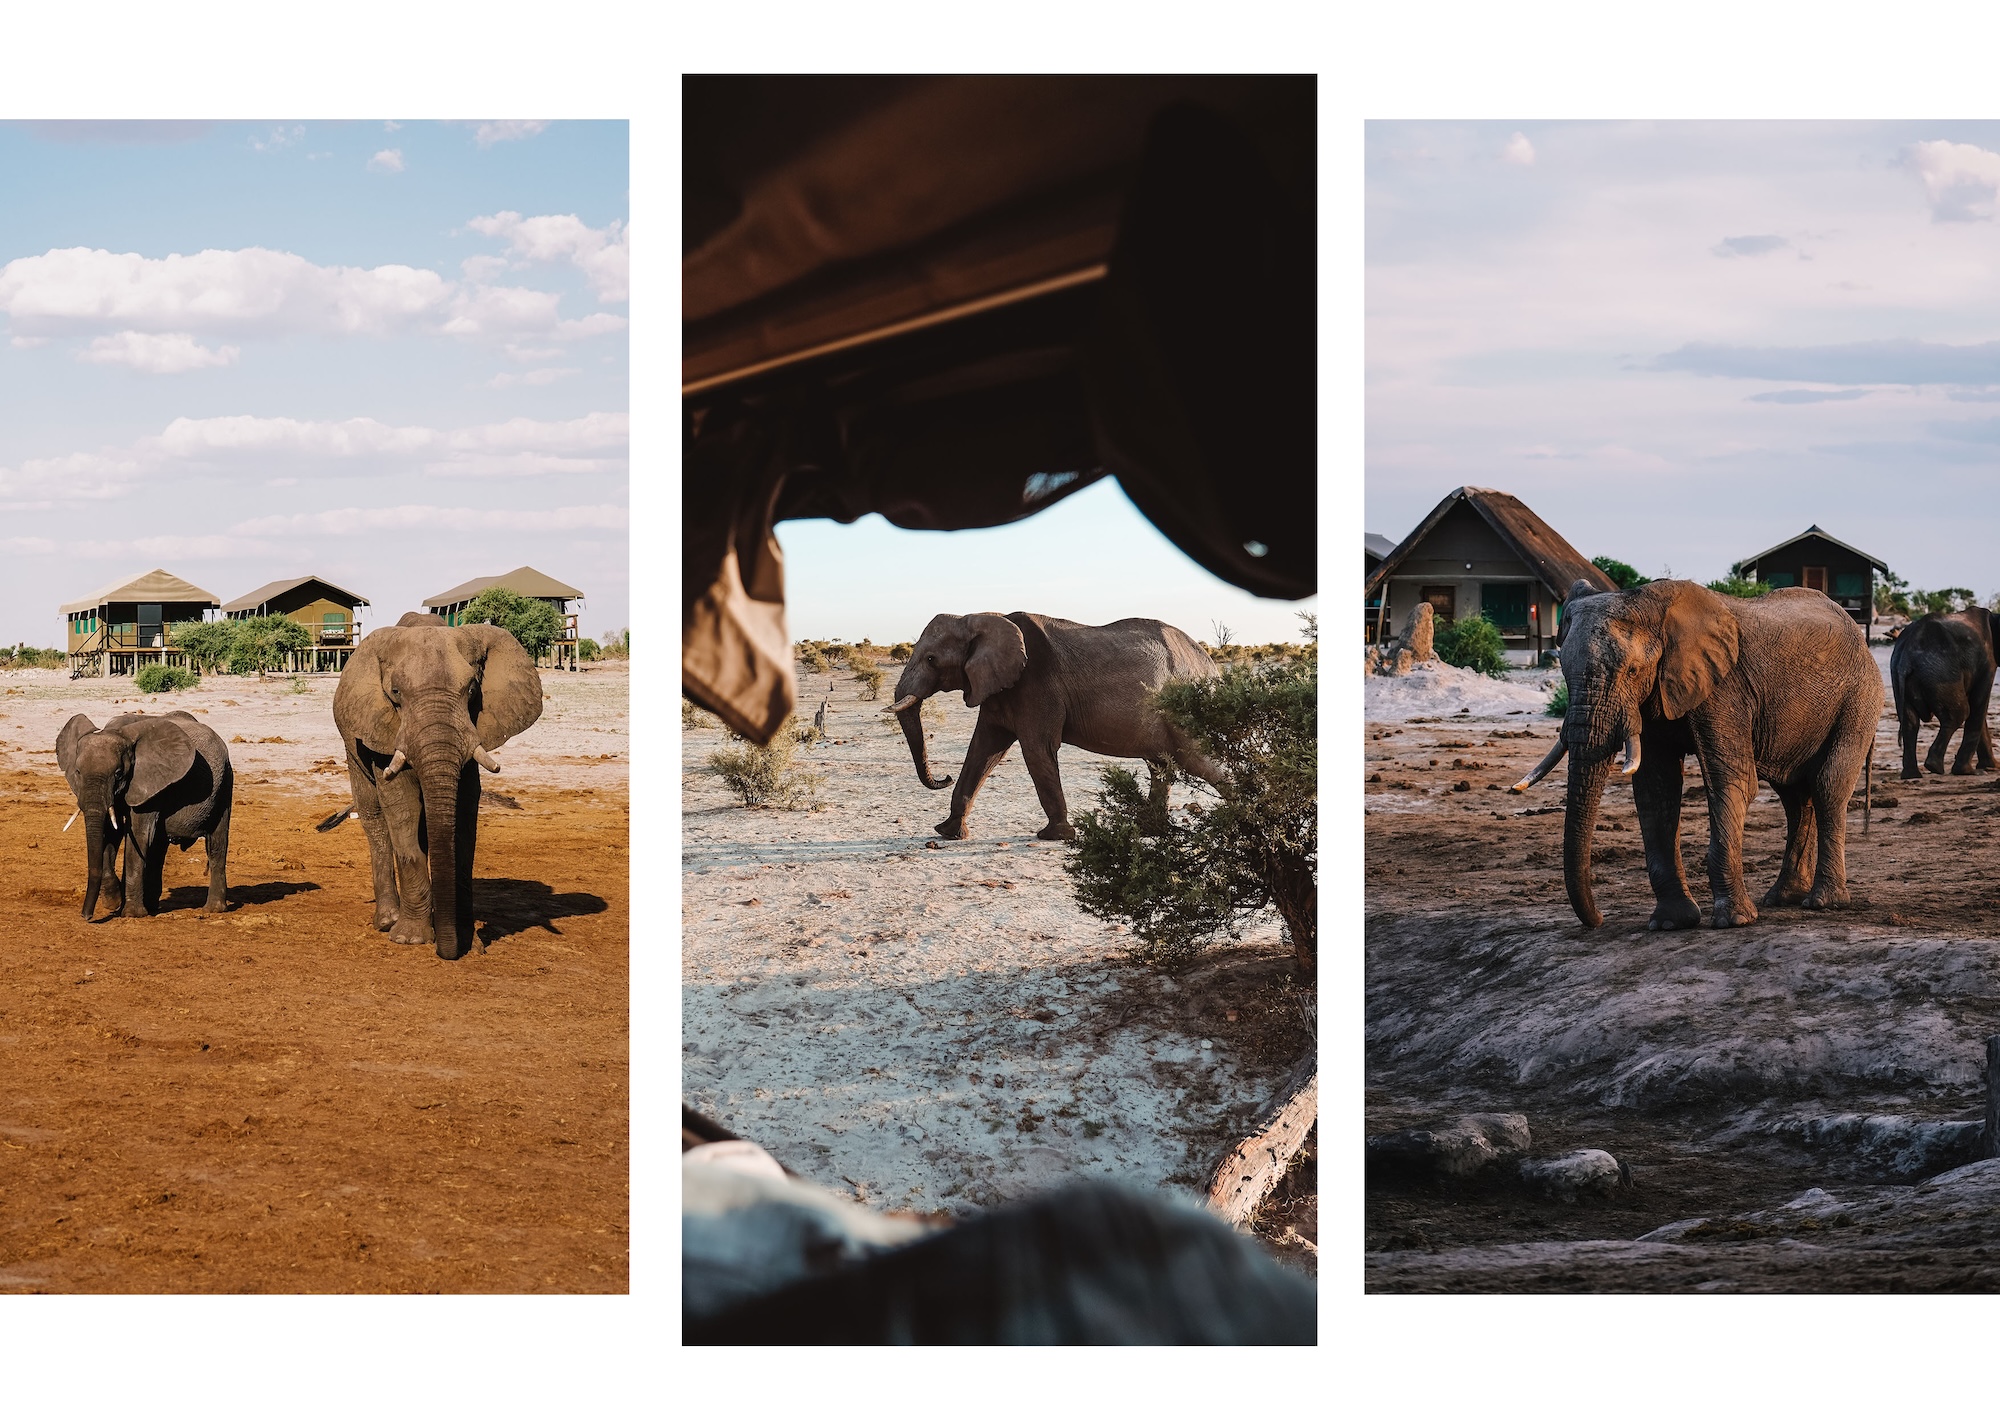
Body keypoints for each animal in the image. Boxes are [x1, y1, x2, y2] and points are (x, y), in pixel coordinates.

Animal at [55, 710, 232, 920]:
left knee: (216, 845)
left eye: (118, 774)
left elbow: (139, 835)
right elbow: (111, 832)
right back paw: (152, 906)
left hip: (224, 785)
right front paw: (114, 902)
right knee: (158, 847)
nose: (86, 916)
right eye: (78, 772)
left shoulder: (148, 783)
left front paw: (131, 913)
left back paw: (213, 910)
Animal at [325, 612, 543, 959]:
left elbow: (464, 818)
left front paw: (470, 942)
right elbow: (401, 808)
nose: (447, 952)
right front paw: (409, 939)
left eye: (471, 689)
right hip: (352, 745)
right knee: (374, 818)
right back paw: (388, 920)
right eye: (396, 692)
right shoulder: (384, 733)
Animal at [888, 611, 1226, 841]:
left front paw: (1055, 836)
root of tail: (1210, 663)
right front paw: (947, 832)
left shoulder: (1037, 685)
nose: (942, 777)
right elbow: (983, 751)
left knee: (1199, 761)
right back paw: (1148, 830)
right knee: (1161, 766)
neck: (980, 618)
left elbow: (1037, 750)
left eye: (931, 659)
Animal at [1513, 579, 1881, 930]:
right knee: (1795, 797)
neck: (1654, 607)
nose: (1600, 919)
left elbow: (1730, 783)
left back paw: (1824, 902)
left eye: (1632, 671)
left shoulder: (1725, 690)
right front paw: (1669, 923)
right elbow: (1656, 790)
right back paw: (1783, 898)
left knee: (1827, 786)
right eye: (1563, 671)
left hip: (1859, 699)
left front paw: (1734, 921)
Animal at [1890, 609, 1997, 779]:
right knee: (1959, 714)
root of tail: (1906, 656)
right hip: (1941, 672)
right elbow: (1978, 705)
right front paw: (1973, 771)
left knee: (1910, 722)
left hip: (1900, 673)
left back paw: (1912, 775)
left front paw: (1991, 767)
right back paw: (1935, 767)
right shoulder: (1988, 662)